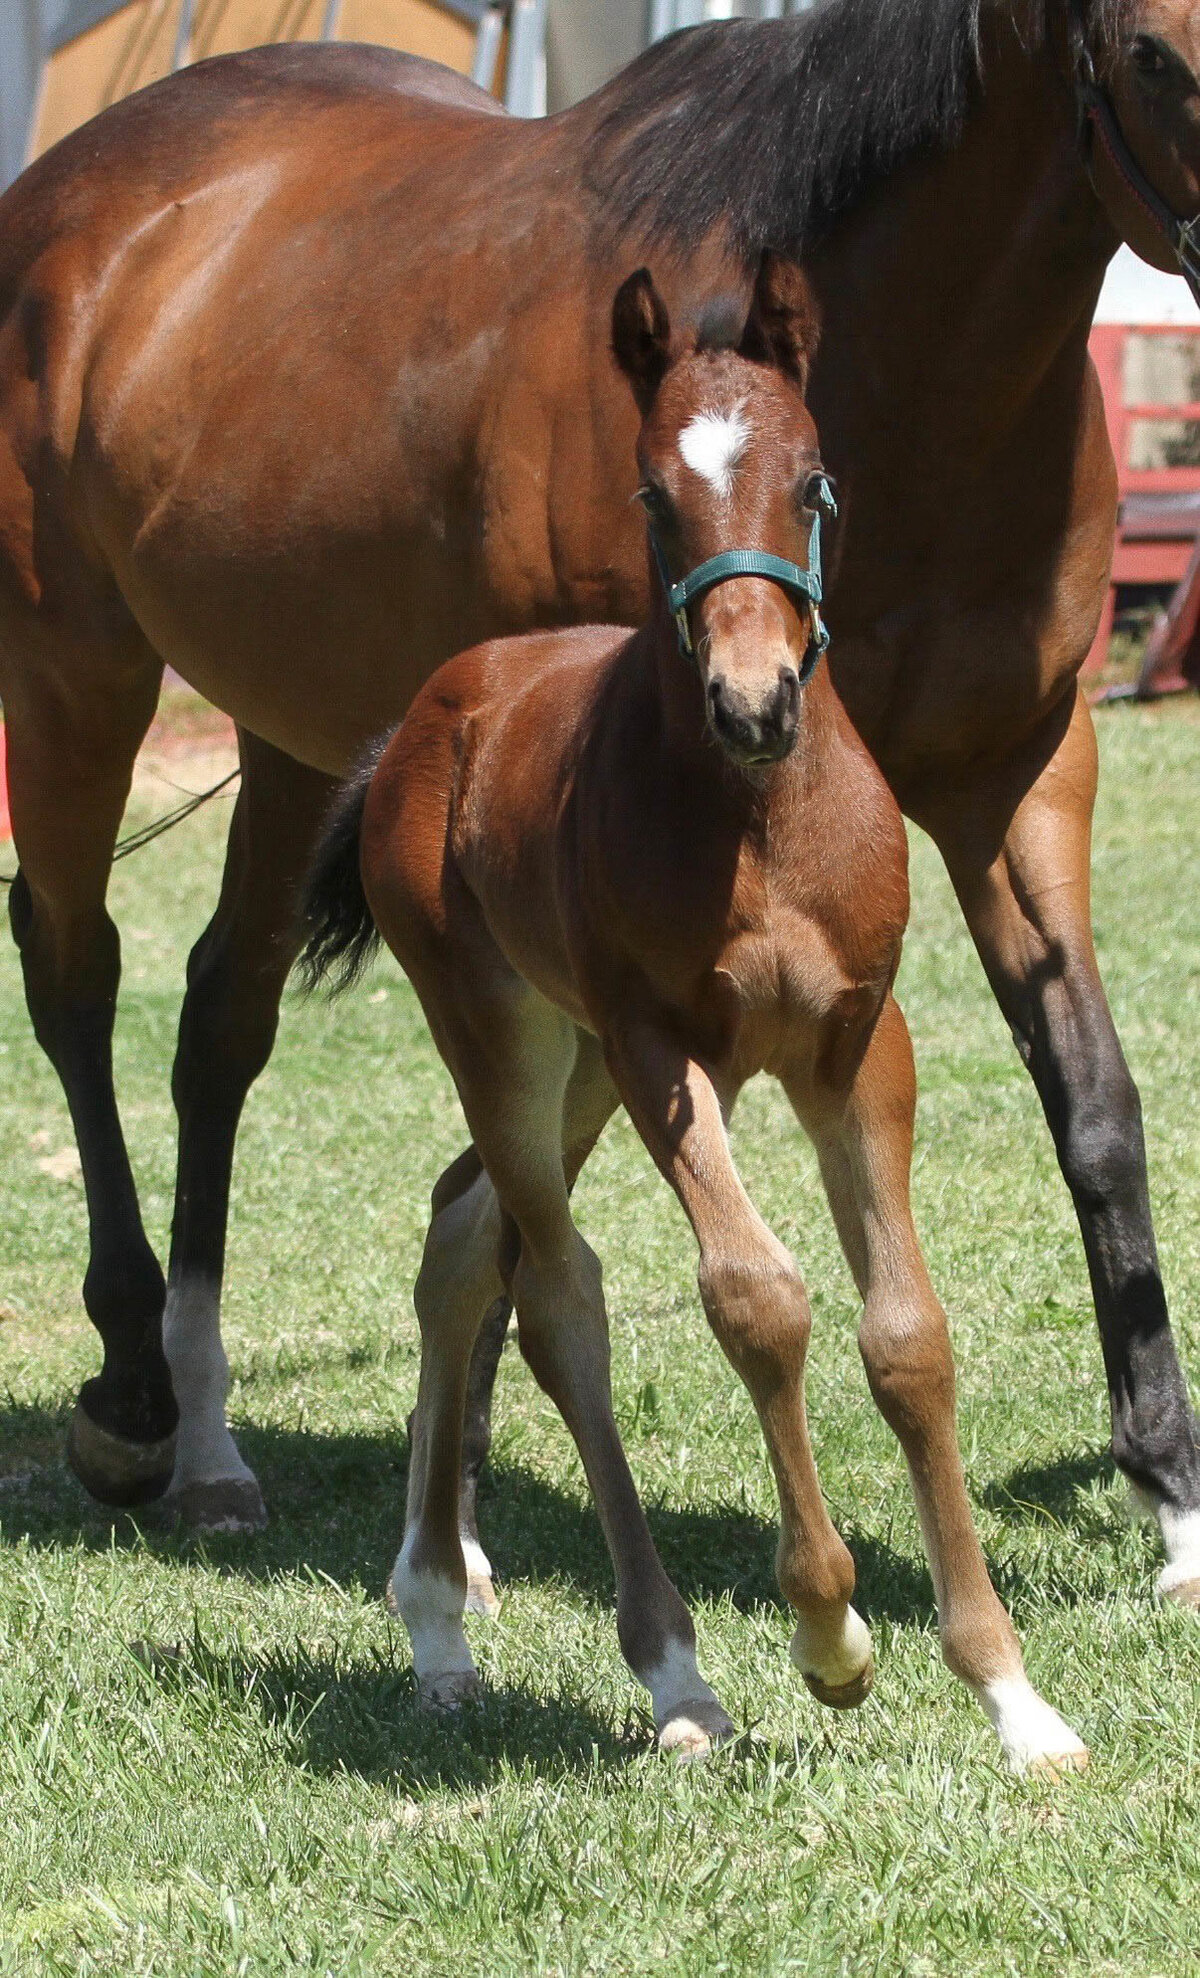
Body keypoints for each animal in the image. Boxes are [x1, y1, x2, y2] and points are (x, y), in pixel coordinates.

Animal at [0, 0, 1194, 1606]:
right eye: (1156, 57)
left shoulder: (1019, 776)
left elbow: (1096, 1102)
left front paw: (1172, 1489)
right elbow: (533, 1182)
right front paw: (466, 1518)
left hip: (291, 736)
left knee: (220, 1018)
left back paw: (208, 1441)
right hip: (75, 674)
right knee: (76, 973)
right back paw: (135, 1394)